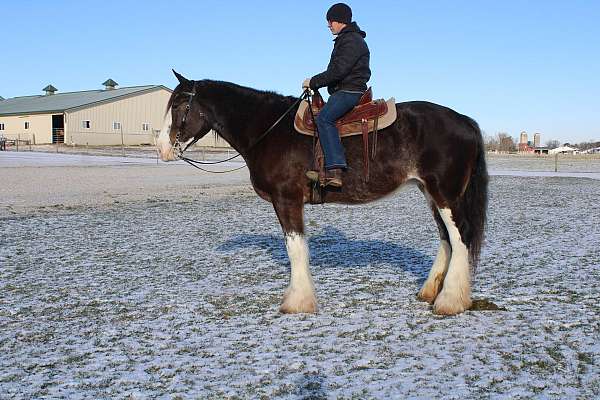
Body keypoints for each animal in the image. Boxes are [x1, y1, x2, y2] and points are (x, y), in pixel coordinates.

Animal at [156, 71, 488, 316]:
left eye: (179, 105)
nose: (161, 148)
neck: (269, 129)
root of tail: (465, 121)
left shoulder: (286, 199)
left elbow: (295, 248)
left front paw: (297, 302)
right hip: (431, 194)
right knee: (446, 239)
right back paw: (431, 292)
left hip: (445, 194)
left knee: (460, 238)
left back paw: (450, 302)